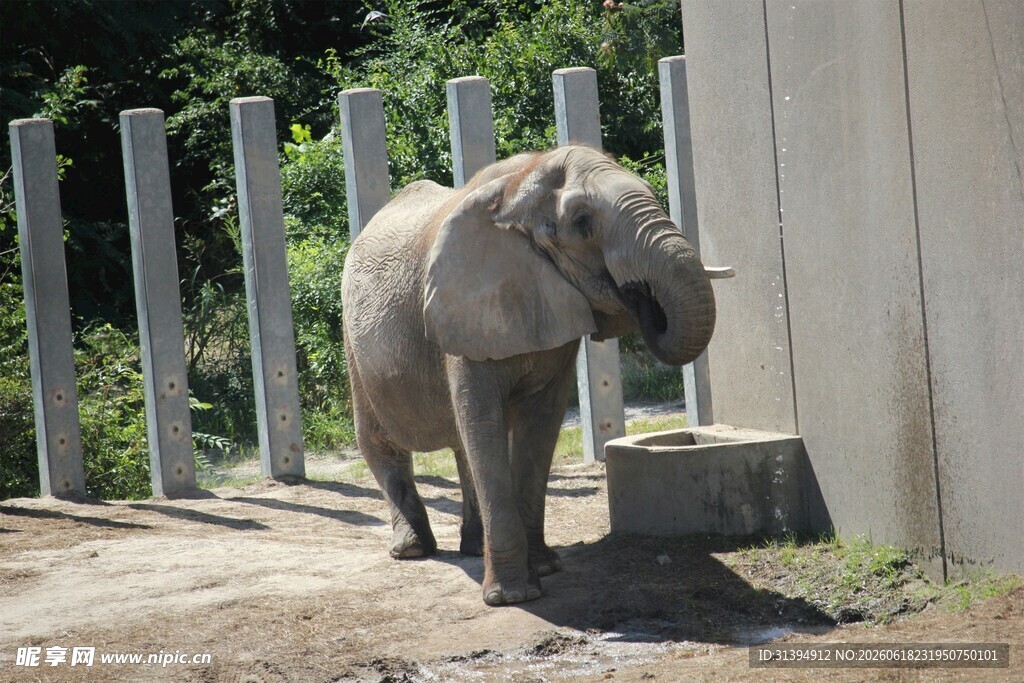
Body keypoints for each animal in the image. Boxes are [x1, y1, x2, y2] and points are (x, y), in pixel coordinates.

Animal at [341, 145, 720, 606]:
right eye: (582, 222)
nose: (639, 293)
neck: (519, 185)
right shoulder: (466, 303)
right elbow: (483, 421)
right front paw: (513, 597)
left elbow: (538, 425)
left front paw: (544, 568)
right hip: (354, 340)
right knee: (379, 440)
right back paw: (412, 550)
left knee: (462, 444)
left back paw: (473, 547)